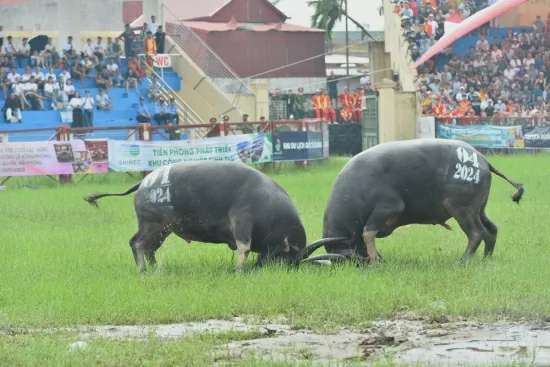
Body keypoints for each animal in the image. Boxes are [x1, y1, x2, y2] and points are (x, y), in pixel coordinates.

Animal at [85, 162, 344, 274]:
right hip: (152, 225)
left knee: (147, 248)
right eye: (287, 257)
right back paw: (143, 271)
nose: (268, 268)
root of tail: (145, 182)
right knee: (138, 244)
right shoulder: (242, 220)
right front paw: (239, 270)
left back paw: (156, 269)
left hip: (161, 229)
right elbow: (244, 247)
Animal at [324, 139, 528, 264]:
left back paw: (463, 261)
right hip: (479, 209)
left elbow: (367, 232)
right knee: (492, 229)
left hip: (460, 208)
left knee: (477, 233)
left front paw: (375, 261)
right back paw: (486, 258)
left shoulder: (388, 207)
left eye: (344, 257)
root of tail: (482, 159)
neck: (357, 188)